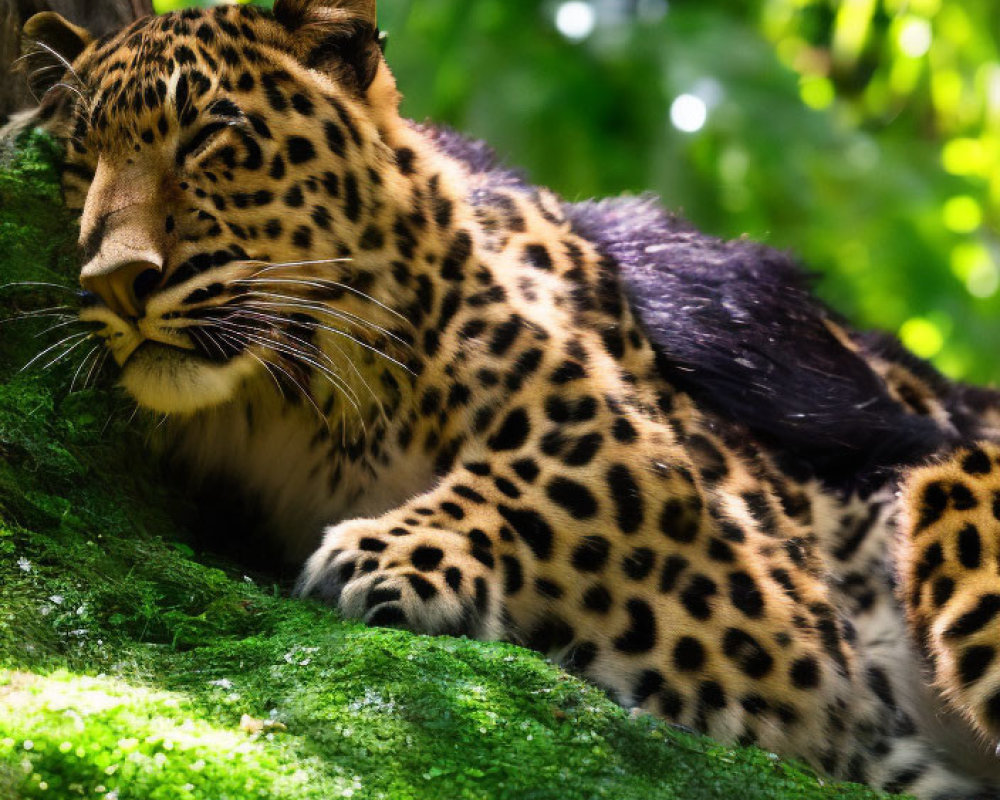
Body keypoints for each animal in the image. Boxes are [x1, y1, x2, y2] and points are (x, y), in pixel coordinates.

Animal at [5, 3, 1000, 796]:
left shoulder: (723, 527)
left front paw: (384, 555)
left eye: (208, 139)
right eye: (81, 162)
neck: (288, 408)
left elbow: (553, 483)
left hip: (951, 493)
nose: (117, 280)